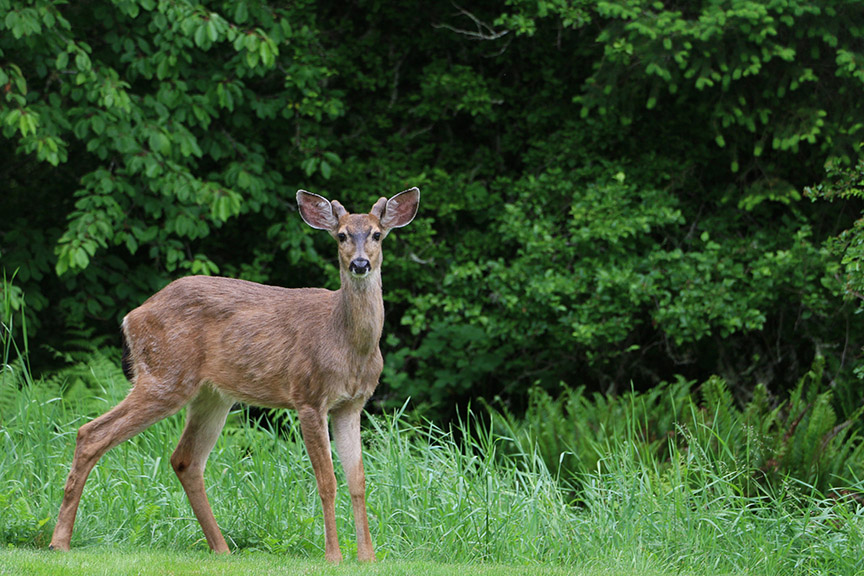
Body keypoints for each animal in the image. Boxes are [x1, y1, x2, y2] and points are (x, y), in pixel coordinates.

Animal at [48, 187, 420, 563]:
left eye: (377, 234)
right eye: (341, 235)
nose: (360, 264)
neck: (346, 341)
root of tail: (132, 316)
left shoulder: (352, 404)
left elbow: (358, 480)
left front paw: (367, 557)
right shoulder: (308, 395)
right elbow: (327, 480)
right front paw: (333, 556)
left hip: (212, 395)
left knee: (184, 460)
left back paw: (222, 548)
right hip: (165, 375)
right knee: (91, 433)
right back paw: (59, 541)